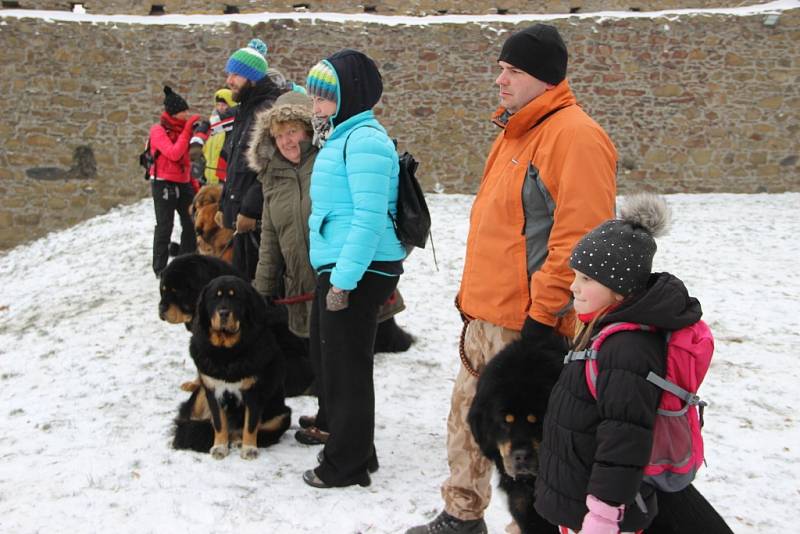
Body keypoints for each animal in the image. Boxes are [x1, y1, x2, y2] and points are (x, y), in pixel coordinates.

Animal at [173, 276, 292, 460]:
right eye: (215, 297)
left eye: (236, 298)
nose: (223, 312)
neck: (227, 352)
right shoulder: (212, 389)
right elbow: (219, 423)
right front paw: (219, 447)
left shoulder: (253, 392)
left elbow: (250, 425)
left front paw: (249, 449)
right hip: (200, 394)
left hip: (283, 415)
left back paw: (238, 440)